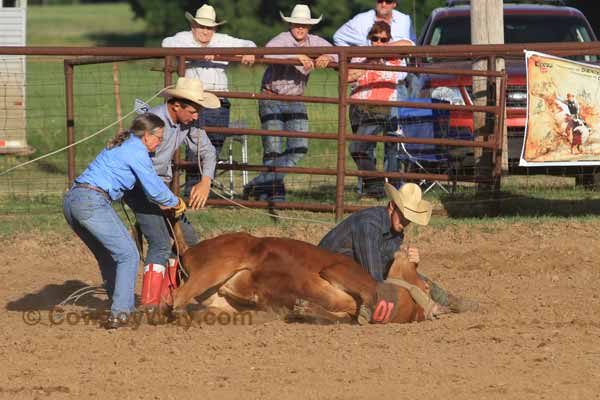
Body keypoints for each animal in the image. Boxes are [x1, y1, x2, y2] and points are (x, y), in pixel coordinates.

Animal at [165, 225, 446, 324]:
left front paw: (304, 309)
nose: (410, 252)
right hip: (221, 263)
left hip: (220, 296)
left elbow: (334, 317)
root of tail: (190, 251)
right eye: (425, 284)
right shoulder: (341, 269)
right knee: (178, 296)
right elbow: (367, 291)